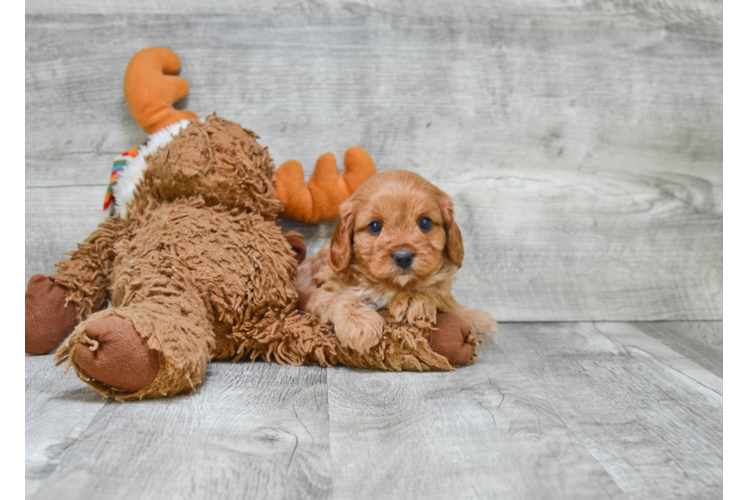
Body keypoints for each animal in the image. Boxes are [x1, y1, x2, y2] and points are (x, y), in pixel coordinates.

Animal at [296, 170, 496, 354]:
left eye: (425, 222)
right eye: (375, 226)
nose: (403, 257)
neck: (390, 286)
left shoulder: (444, 293)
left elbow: (444, 298)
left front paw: (413, 298)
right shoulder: (319, 295)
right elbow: (341, 298)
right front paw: (359, 325)